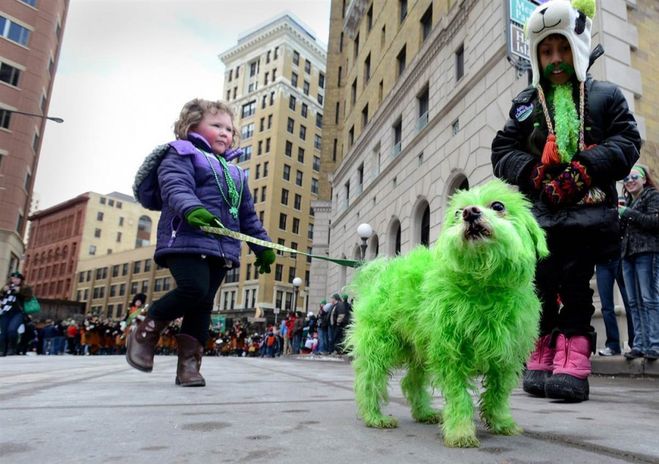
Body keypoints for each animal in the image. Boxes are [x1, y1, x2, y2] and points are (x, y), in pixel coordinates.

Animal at [348, 179, 548, 448]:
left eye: (498, 206)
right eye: (457, 212)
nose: (469, 212)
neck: (483, 286)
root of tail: (378, 273)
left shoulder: (505, 356)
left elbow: (498, 393)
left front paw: (501, 422)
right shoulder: (451, 353)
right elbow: (458, 396)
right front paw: (461, 432)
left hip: (419, 349)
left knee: (410, 382)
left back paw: (423, 413)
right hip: (381, 344)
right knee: (369, 379)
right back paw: (374, 416)